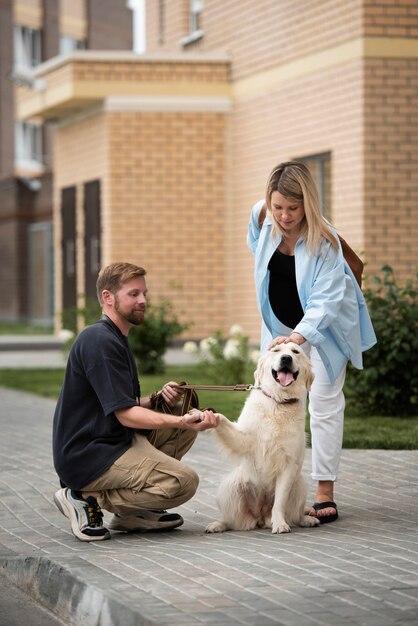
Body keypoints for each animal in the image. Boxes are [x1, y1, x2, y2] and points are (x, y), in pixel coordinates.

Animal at [206, 342, 320, 532]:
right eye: (276, 350)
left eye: (295, 352)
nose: (286, 358)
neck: (278, 402)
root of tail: (258, 516)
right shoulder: (243, 439)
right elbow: (223, 422)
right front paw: (204, 415)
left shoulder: (288, 465)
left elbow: (279, 503)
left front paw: (279, 523)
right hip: (229, 486)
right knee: (231, 520)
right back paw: (218, 525)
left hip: (298, 485)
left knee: (295, 515)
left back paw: (306, 519)